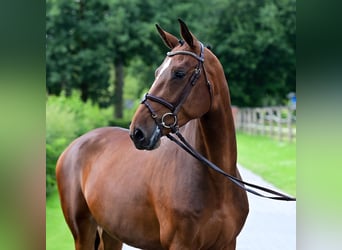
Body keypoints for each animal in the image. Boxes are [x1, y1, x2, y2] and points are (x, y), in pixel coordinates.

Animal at [56, 20, 248, 250]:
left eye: (179, 73)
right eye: (157, 72)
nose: (137, 132)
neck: (218, 183)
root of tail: (72, 147)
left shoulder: (228, 243)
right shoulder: (180, 245)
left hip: (111, 234)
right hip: (83, 232)